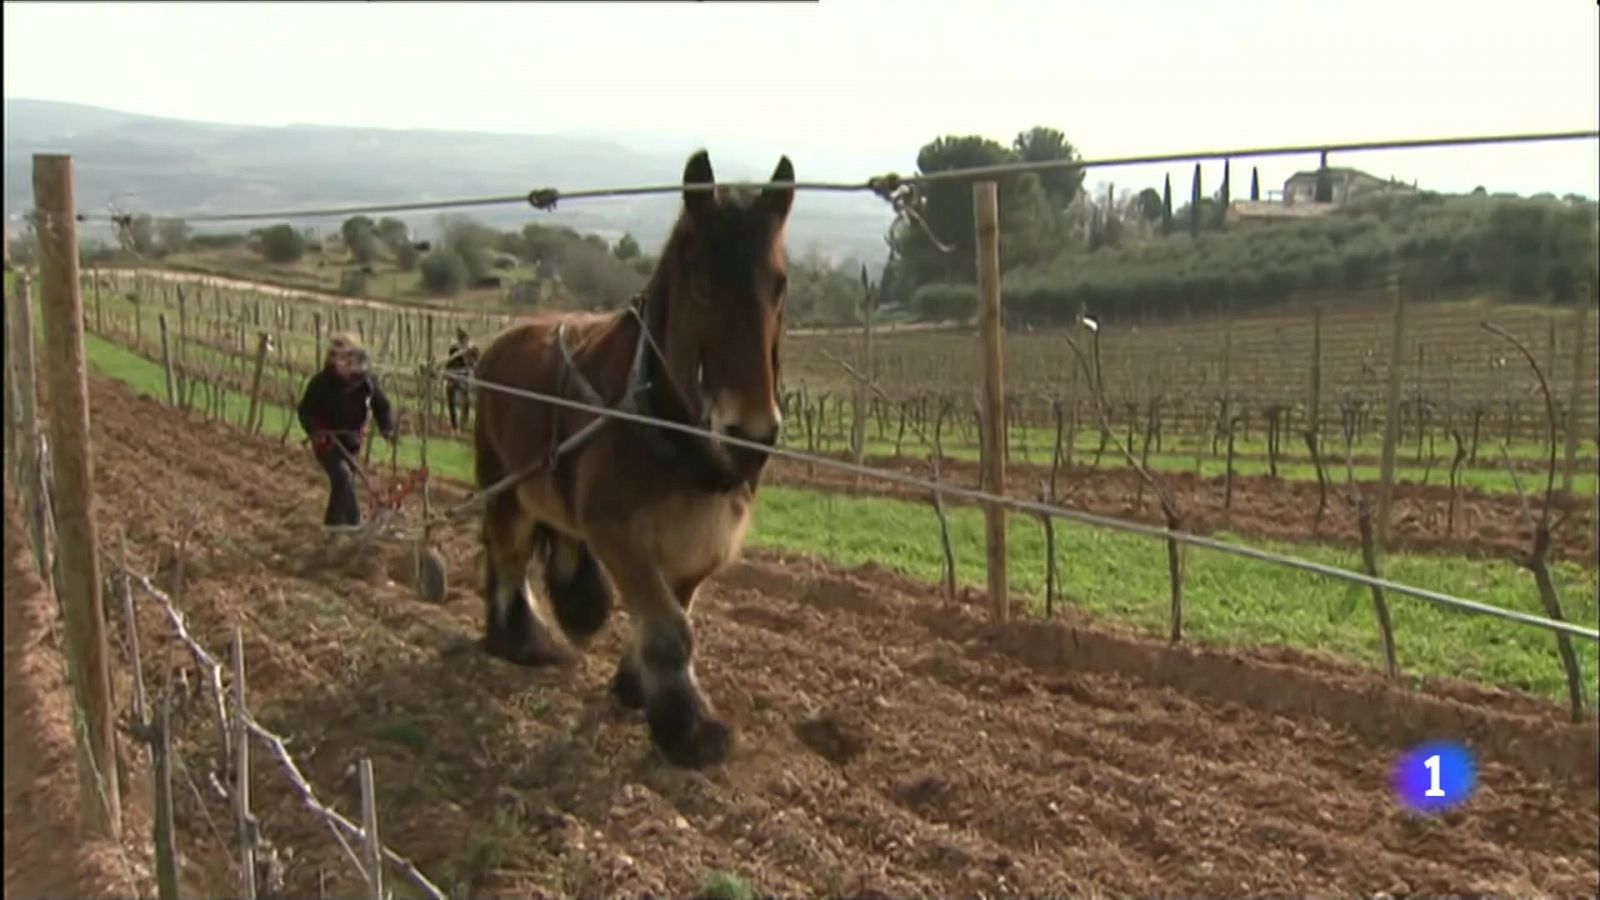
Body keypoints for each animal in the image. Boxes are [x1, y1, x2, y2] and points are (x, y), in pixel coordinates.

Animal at [467, 147, 793, 762]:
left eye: (780, 284)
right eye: (702, 282)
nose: (752, 435)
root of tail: (499, 342)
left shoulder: (702, 542)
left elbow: (674, 614)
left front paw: (635, 685)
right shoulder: (616, 531)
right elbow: (671, 631)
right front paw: (688, 726)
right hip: (504, 484)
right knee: (509, 553)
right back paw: (517, 637)